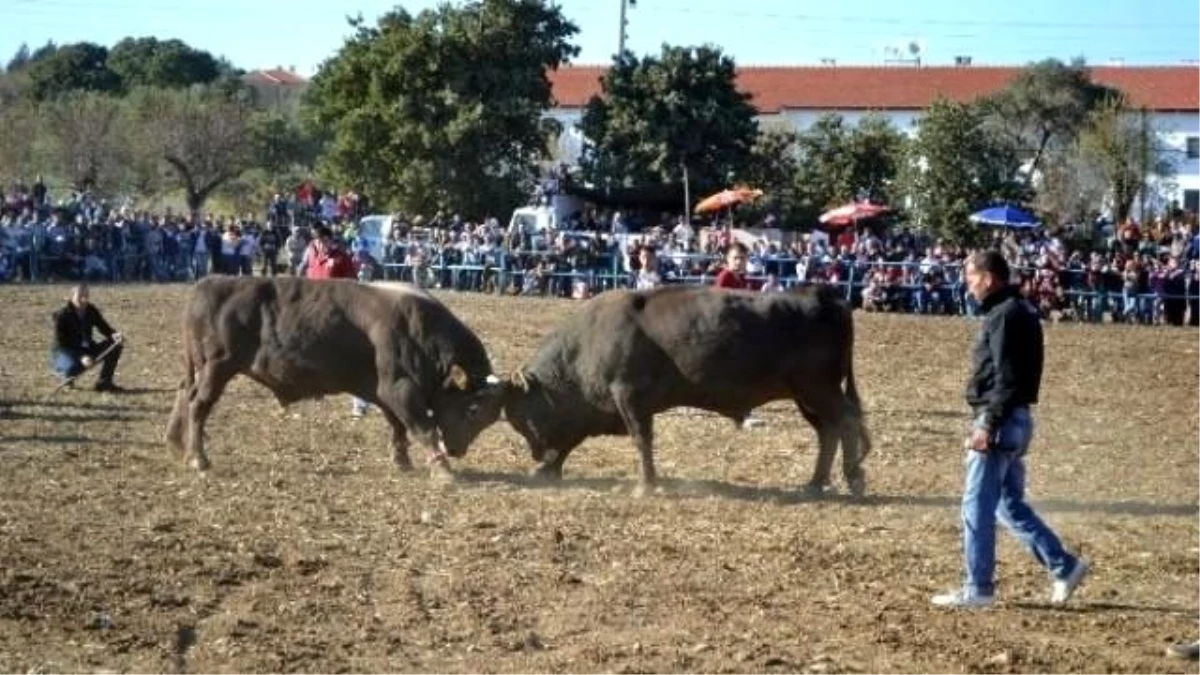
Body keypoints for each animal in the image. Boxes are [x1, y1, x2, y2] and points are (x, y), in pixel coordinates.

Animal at [164, 273, 501, 473]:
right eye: (472, 409)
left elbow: (398, 425)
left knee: (184, 392)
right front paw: (443, 470)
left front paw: (402, 460)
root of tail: (209, 283)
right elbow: (422, 427)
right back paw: (198, 458)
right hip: (217, 367)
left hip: (201, 368)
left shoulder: (382, 390)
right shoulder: (400, 388)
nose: (457, 450)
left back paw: (176, 442)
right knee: (198, 405)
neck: (421, 329)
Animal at [487, 281, 873, 497]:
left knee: (846, 420)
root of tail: (824, 296)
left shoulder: (630, 398)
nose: (536, 455)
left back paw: (853, 477)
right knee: (828, 430)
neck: (588, 343)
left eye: (522, 417)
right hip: (806, 396)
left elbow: (642, 441)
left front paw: (646, 485)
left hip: (818, 388)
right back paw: (816, 482)